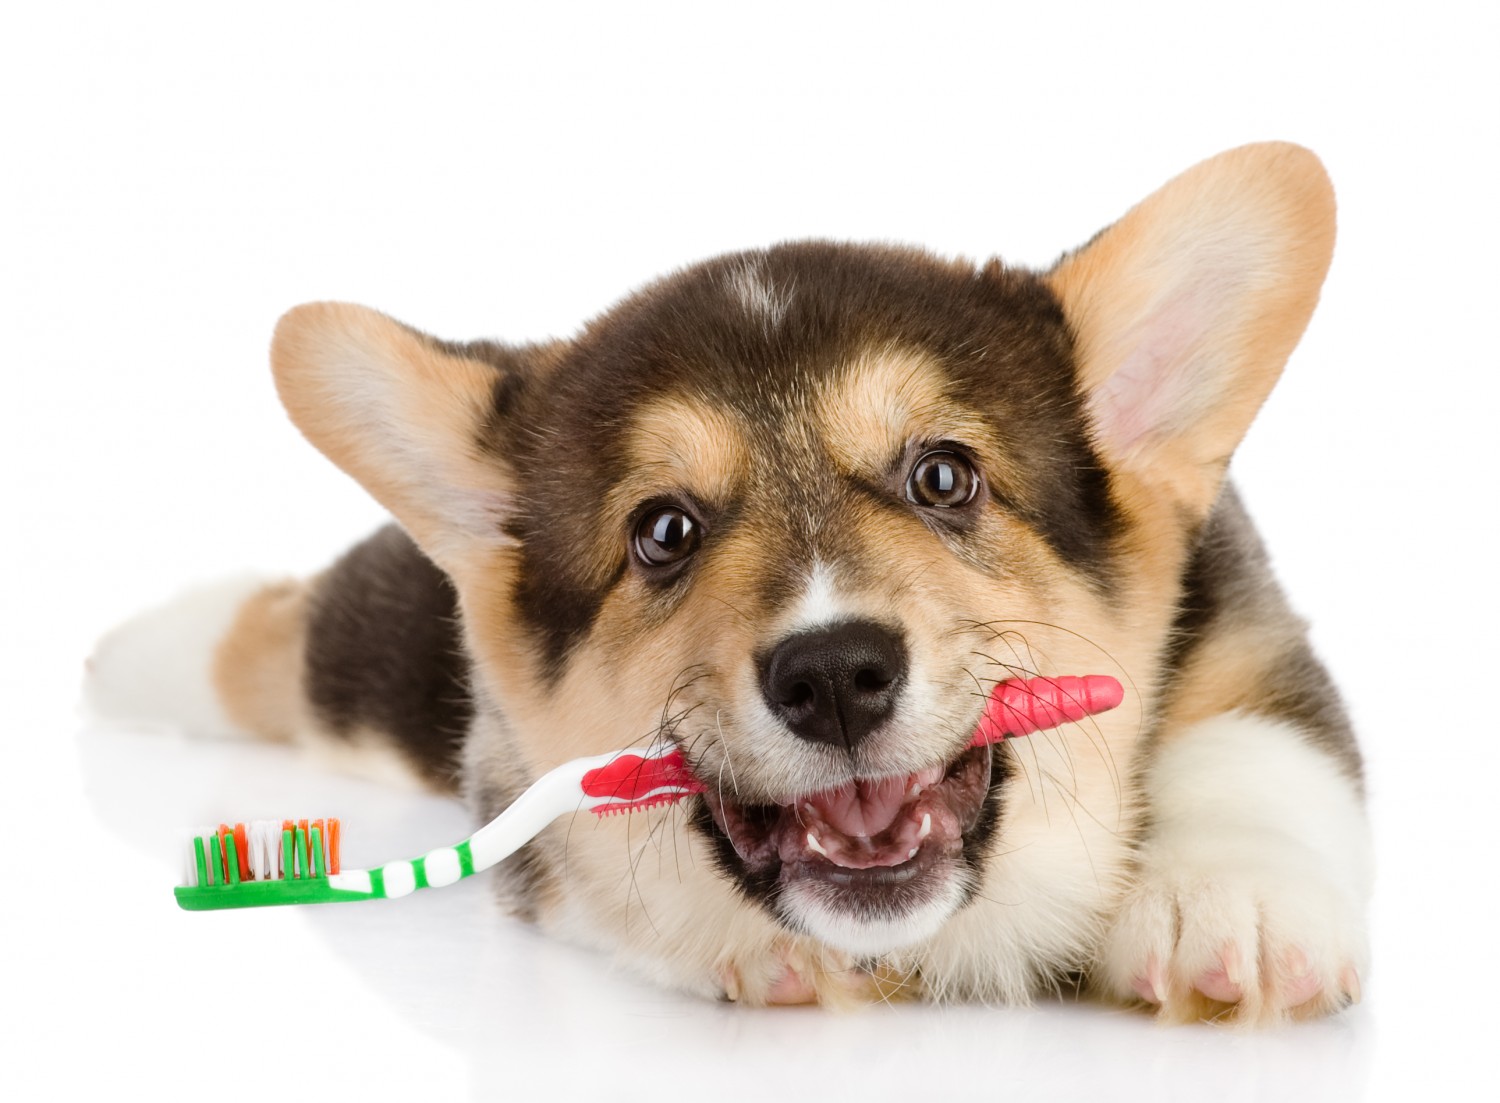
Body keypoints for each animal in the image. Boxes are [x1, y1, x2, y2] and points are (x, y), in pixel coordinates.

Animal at [87, 142, 1368, 1020]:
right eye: (664, 531)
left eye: (944, 475)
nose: (835, 674)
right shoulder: (515, 775)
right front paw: (754, 947)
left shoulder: (1247, 615)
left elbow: (1255, 744)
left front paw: (1227, 902)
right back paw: (136, 650)